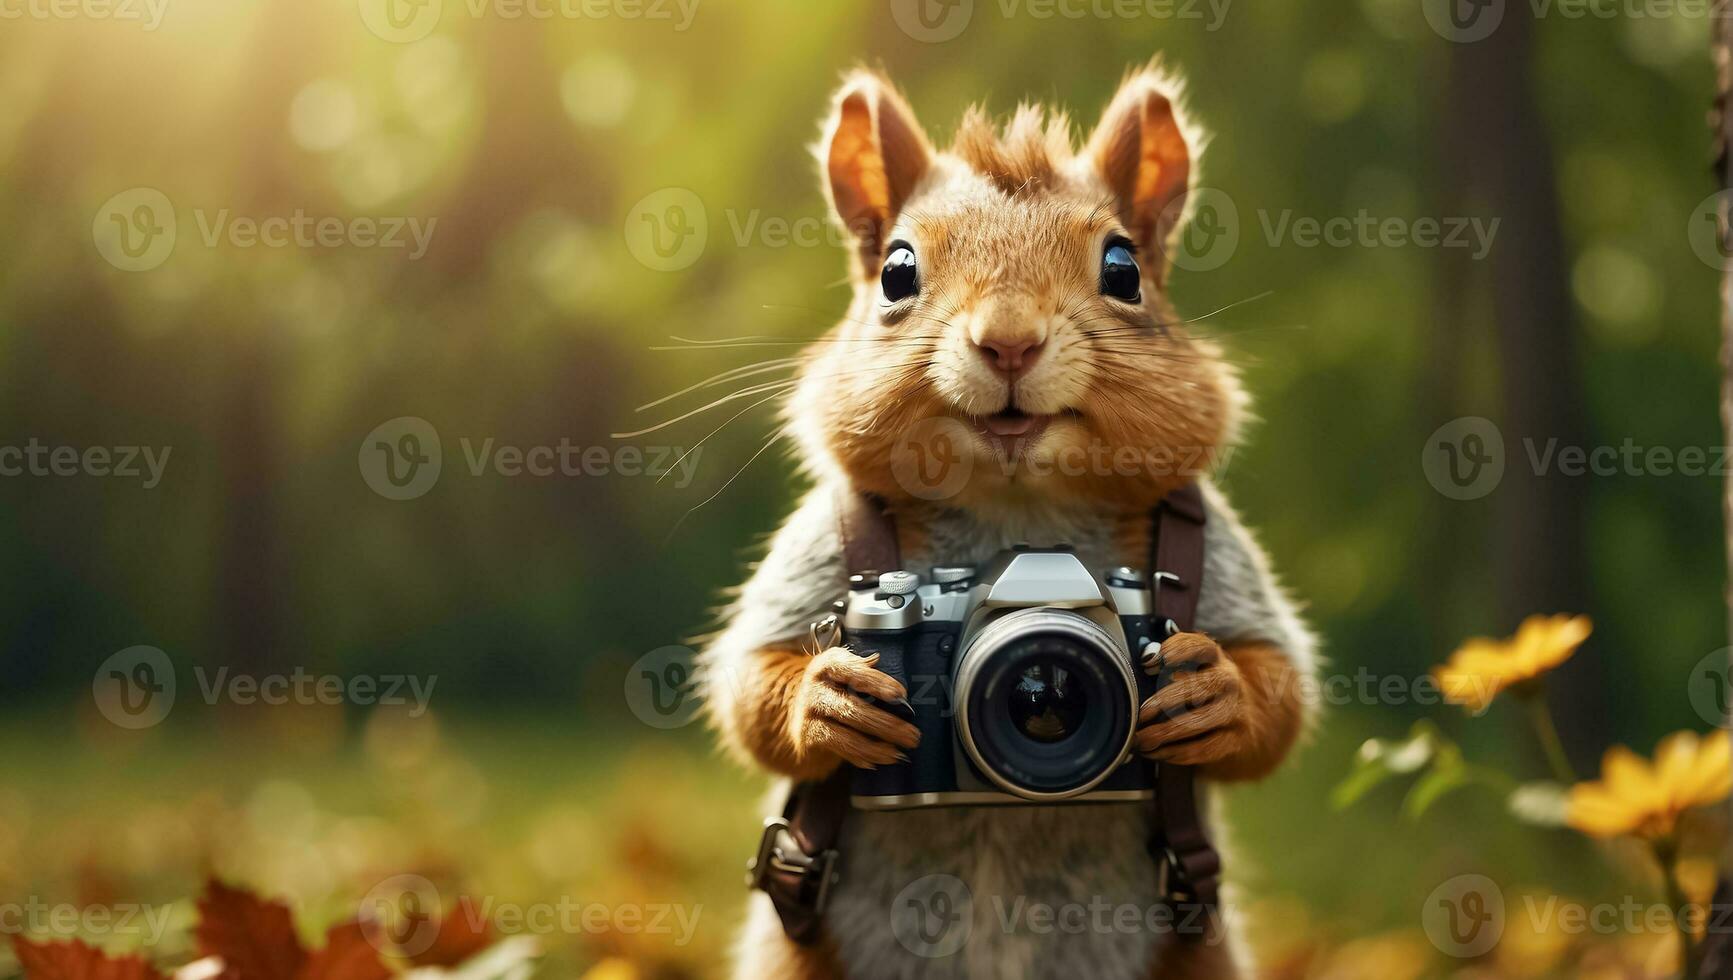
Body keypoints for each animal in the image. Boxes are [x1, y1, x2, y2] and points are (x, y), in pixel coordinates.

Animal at [696, 61, 1317, 978]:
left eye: (1123, 268)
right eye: (896, 272)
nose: (1010, 342)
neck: (1018, 510)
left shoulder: (1222, 553)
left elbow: (1279, 686)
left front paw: (1214, 694)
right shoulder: (817, 548)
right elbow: (748, 682)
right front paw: (829, 699)